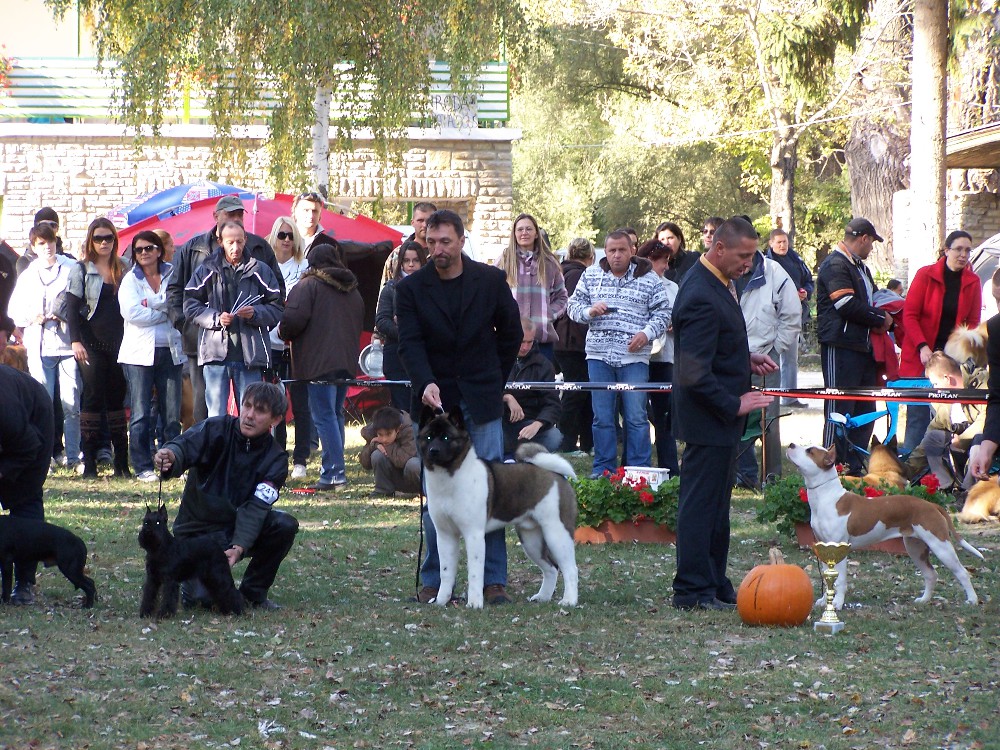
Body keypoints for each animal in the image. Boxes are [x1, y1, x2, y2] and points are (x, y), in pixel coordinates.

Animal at [418, 407, 579, 609]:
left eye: (446, 437)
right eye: (429, 437)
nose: (433, 451)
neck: (450, 477)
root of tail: (556, 475)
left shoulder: (474, 535)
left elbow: (475, 572)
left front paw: (475, 603)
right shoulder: (445, 535)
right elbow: (446, 572)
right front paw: (441, 601)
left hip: (557, 534)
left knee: (570, 569)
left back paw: (569, 600)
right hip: (531, 539)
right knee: (551, 568)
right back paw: (543, 597)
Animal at [787, 443, 983, 608]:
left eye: (810, 451)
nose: (790, 444)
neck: (827, 497)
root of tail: (931, 505)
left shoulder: (839, 548)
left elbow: (840, 580)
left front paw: (837, 603)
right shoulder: (824, 547)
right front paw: (823, 600)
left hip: (941, 546)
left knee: (962, 572)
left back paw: (972, 600)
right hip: (915, 547)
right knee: (931, 574)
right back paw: (924, 600)